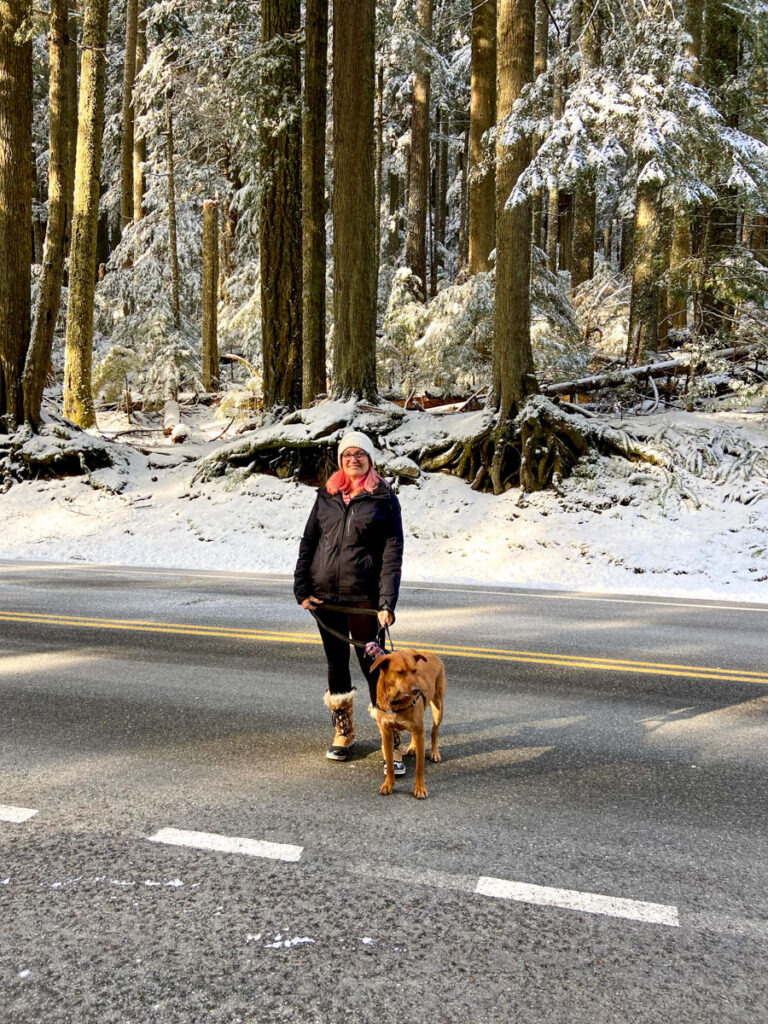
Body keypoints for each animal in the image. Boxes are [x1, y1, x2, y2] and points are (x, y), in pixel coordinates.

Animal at [370, 647, 448, 798]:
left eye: (414, 671)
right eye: (400, 672)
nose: (417, 690)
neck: (396, 702)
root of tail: (433, 654)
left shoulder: (419, 731)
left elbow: (419, 768)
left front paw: (420, 788)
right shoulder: (387, 733)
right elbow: (390, 764)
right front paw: (388, 785)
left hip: (438, 708)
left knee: (434, 730)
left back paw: (435, 753)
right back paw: (412, 747)